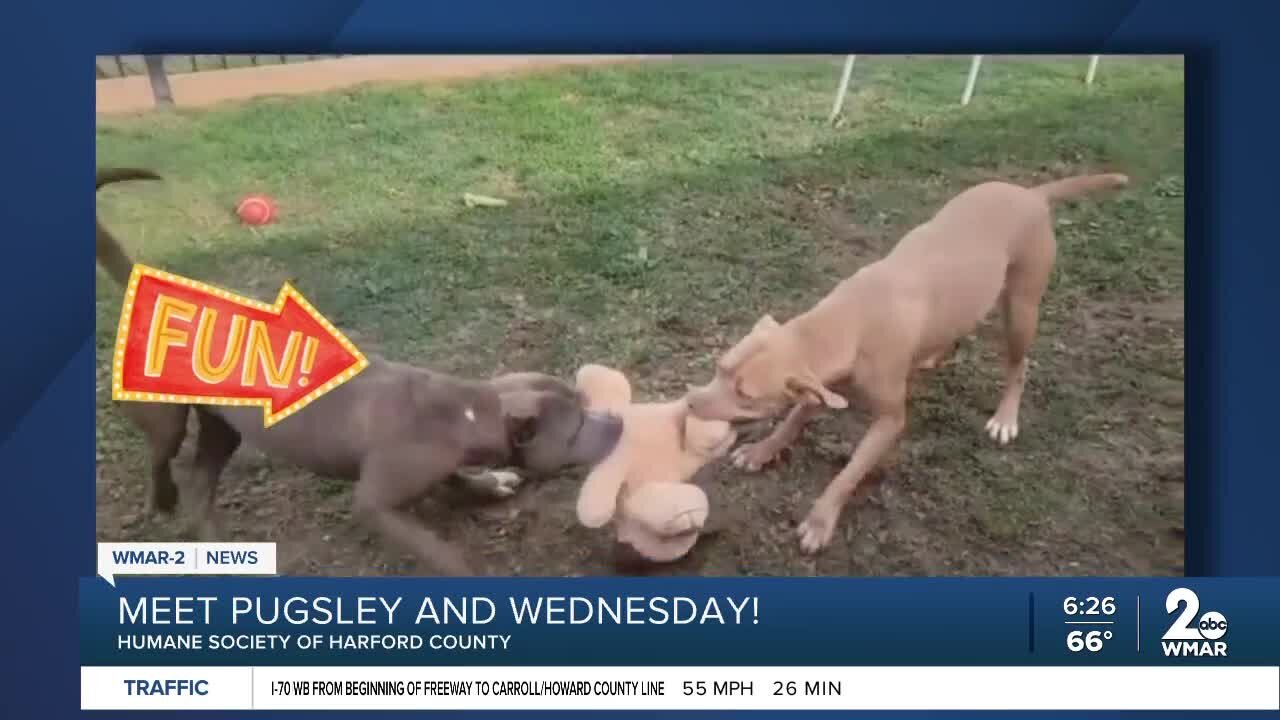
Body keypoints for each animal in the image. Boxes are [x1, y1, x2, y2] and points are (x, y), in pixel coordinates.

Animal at [97, 167, 622, 571]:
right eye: (576, 429)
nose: (618, 423)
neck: (470, 409)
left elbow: (456, 481)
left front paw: (487, 486)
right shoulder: (375, 502)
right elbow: (435, 548)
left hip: (223, 425)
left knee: (202, 484)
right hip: (165, 417)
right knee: (161, 460)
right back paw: (165, 503)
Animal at [691, 170, 1131, 550]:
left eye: (745, 395)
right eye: (719, 368)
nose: (691, 402)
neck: (848, 321)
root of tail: (1031, 194)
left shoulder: (888, 421)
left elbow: (849, 472)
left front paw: (820, 520)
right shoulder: (821, 386)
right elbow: (792, 420)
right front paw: (762, 450)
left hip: (1021, 310)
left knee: (1018, 366)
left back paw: (1006, 417)